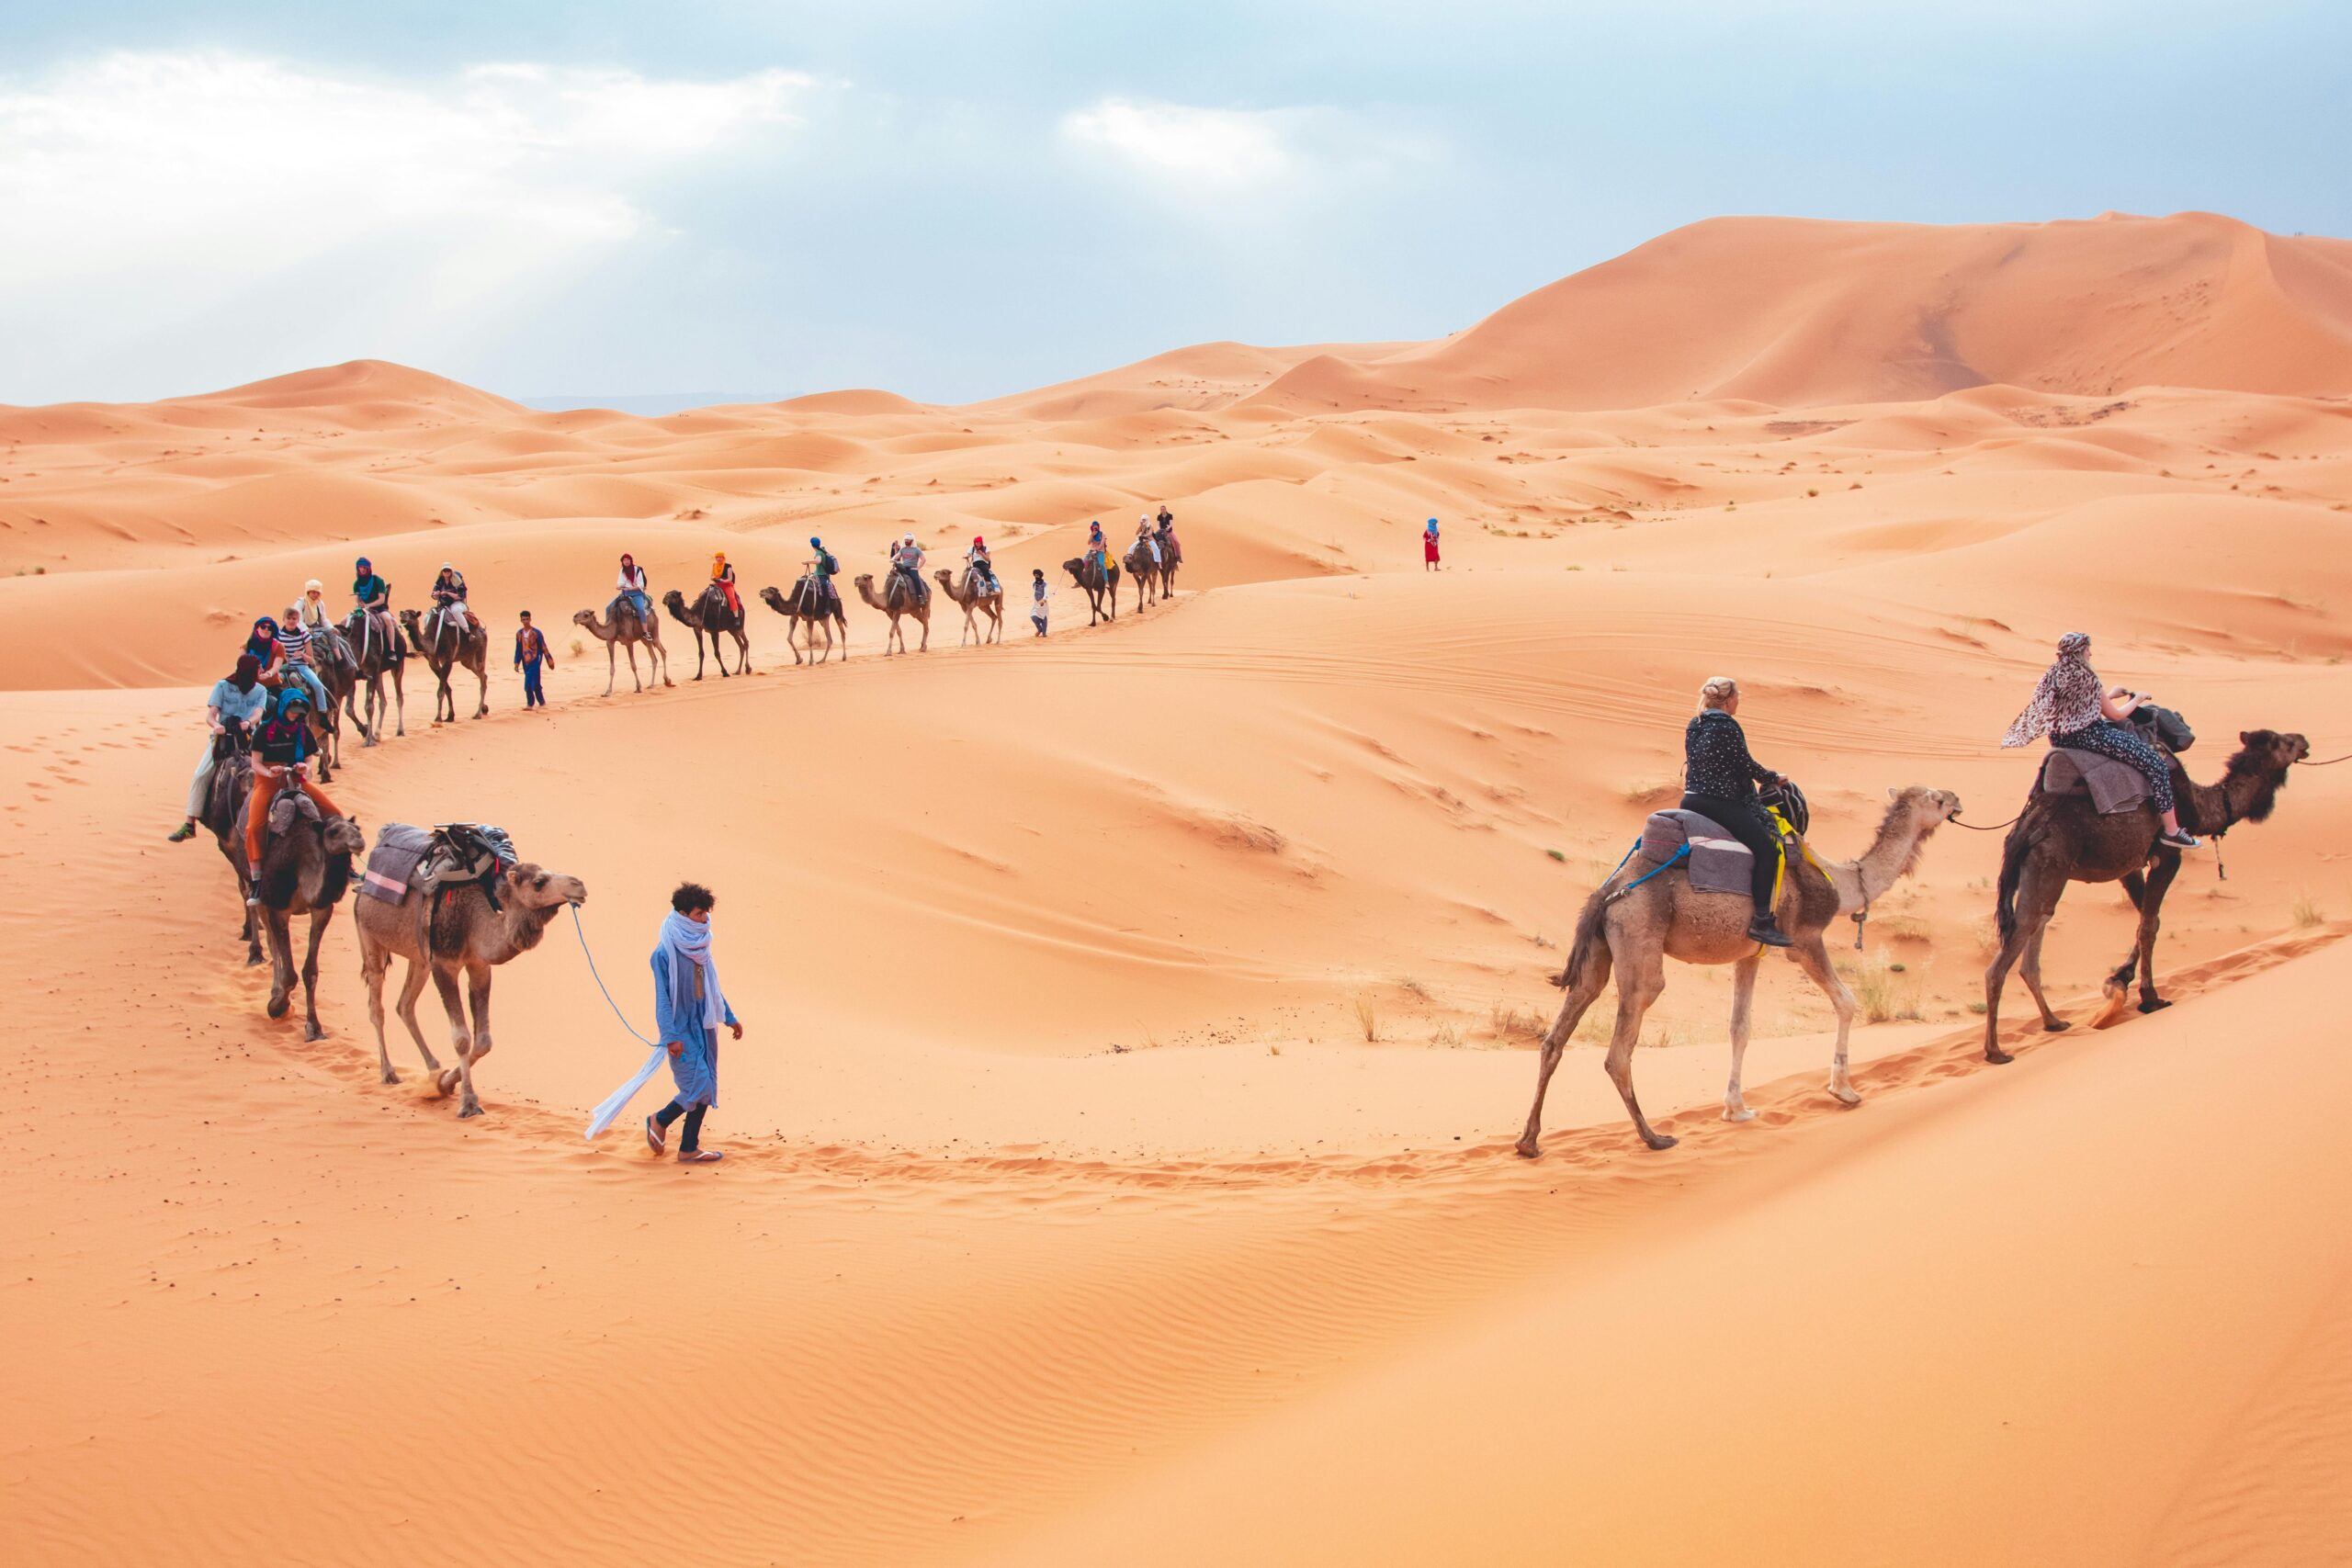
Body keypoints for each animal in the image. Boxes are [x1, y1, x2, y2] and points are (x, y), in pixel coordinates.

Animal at [338, 606, 406, 747]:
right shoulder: (354, 677)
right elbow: (348, 709)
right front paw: (365, 731)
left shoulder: (372, 672)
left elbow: (369, 707)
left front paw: (369, 740)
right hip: (379, 673)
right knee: (383, 701)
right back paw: (377, 734)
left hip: (397, 665)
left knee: (399, 696)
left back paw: (400, 730)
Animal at [359, 851, 597, 1123]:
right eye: (539, 882)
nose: (579, 885)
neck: (472, 922)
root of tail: (361, 885)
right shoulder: (443, 965)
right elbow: (462, 1038)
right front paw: (468, 1104)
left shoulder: (479, 966)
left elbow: (484, 1041)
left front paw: (444, 1083)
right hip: (370, 937)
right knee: (376, 1006)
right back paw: (388, 1073)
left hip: (419, 959)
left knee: (405, 1005)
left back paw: (433, 1068)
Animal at [401, 606, 489, 724]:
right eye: (403, 613)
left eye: (412, 614)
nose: (403, 616)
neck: (433, 640)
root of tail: (482, 630)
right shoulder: (432, 662)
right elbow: (447, 689)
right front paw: (450, 716)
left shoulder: (447, 660)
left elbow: (441, 691)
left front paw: (438, 718)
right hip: (467, 660)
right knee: (483, 676)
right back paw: (484, 708)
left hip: (480, 650)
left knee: (482, 677)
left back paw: (478, 714)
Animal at [1514, 784, 1956, 1152]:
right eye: (1936, 798)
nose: (1956, 800)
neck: (1843, 880)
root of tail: (1607, 892)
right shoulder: (1805, 939)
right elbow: (1846, 1001)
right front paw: (1844, 1091)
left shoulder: (1750, 953)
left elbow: (1739, 1027)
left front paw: (1736, 1109)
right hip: (1639, 934)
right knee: (1622, 1044)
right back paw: (1654, 1138)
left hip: (1600, 951)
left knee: (1558, 1034)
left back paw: (1529, 1141)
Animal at [1984, 728, 2314, 1062]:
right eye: (2283, 742)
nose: (2303, 740)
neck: (2198, 805)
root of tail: (2023, 827)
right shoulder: (2167, 854)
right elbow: (2149, 925)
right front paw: (2149, 997)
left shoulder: (2129, 866)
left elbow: (2146, 919)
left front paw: (2118, 981)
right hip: (2048, 865)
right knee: (2007, 955)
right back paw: (1995, 1051)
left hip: (2042, 874)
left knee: (2036, 931)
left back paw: (2053, 1022)